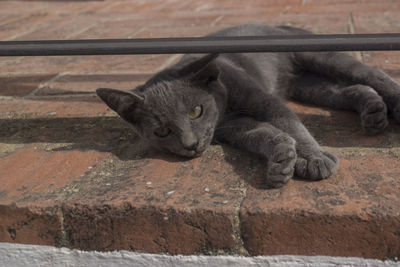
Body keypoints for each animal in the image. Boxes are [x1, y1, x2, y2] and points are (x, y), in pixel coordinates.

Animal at [95, 25, 398, 188]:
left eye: (195, 111)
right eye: (161, 132)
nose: (190, 145)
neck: (225, 109)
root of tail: (281, 26)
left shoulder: (263, 100)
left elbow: (291, 123)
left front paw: (313, 159)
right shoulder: (232, 126)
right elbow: (261, 134)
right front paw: (281, 160)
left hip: (320, 55)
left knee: (371, 75)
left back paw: (393, 104)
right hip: (311, 86)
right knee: (349, 89)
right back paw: (374, 112)